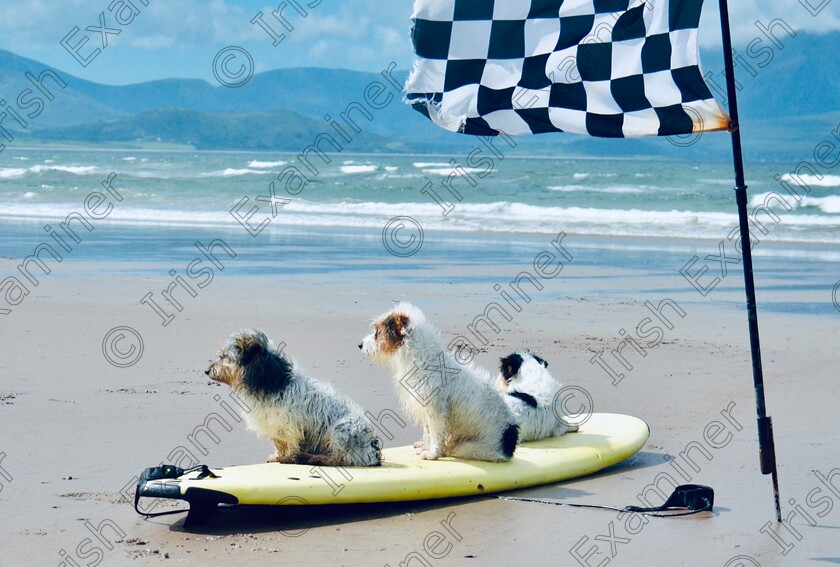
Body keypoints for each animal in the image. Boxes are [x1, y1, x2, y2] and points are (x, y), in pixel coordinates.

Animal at [360, 302, 520, 462]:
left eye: (378, 332)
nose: (359, 344)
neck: (425, 362)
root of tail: (510, 439)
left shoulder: (435, 409)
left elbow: (435, 433)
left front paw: (432, 453)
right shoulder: (425, 407)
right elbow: (428, 430)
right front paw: (426, 446)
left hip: (471, 448)